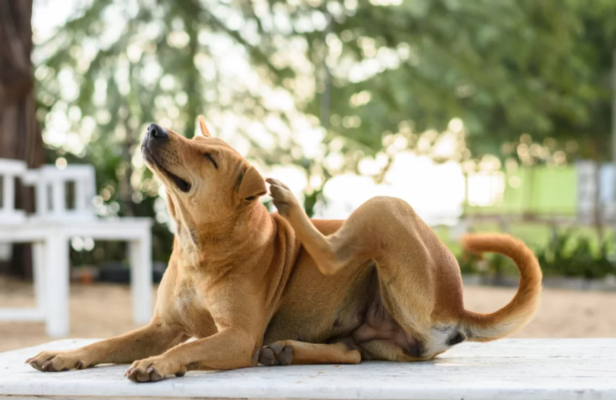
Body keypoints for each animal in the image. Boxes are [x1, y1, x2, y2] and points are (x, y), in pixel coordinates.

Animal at [26, 115, 540, 382]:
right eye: (193, 138)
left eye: (208, 156)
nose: (155, 128)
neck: (199, 246)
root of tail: (457, 303)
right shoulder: (163, 326)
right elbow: (108, 342)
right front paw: (65, 355)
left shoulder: (238, 337)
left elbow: (189, 348)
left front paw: (158, 363)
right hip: (376, 336)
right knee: (351, 352)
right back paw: (288, 350)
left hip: (385, 208)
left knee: (334, 252)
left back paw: (290, 204)